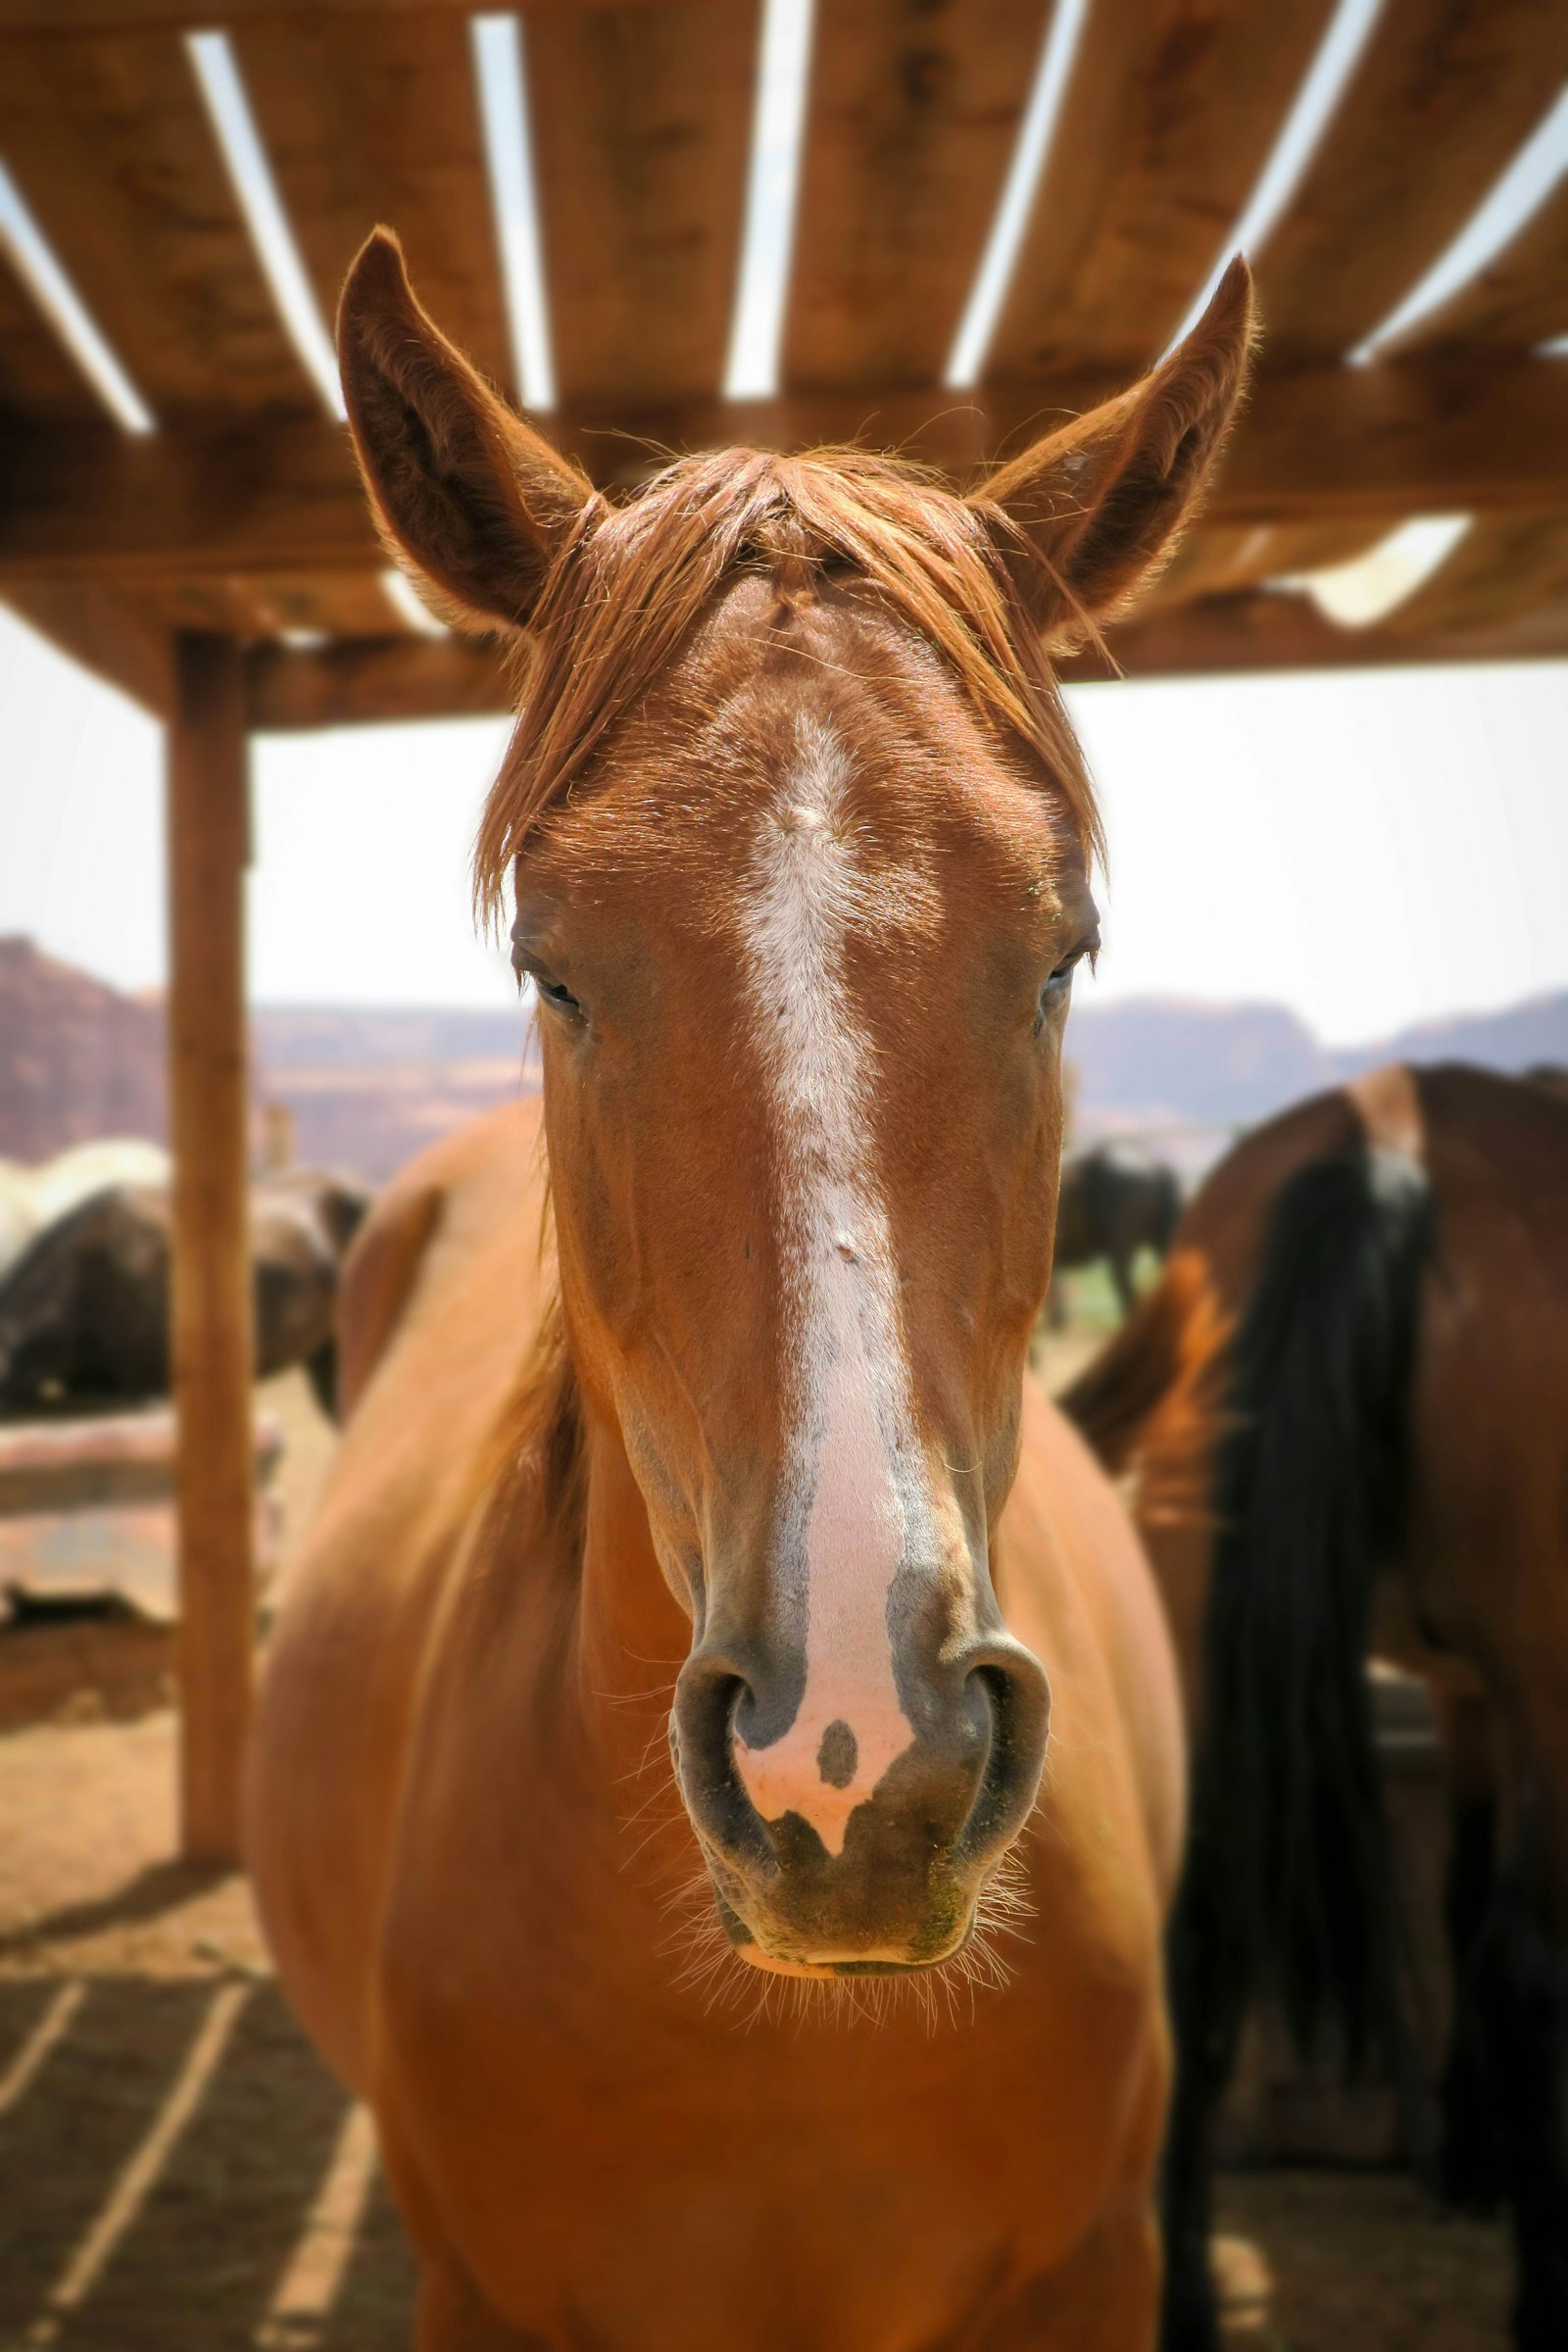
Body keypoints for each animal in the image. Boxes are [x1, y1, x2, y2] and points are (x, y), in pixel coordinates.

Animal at [1062, 1067, 1568, 2352]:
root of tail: (1387, 1139)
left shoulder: (1462, 1691)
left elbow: (1453, 1889)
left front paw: (1470, 2149)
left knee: (1194, 1942)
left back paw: (1185, 2299)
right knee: (1532, 1958)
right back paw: (1540, 2296)